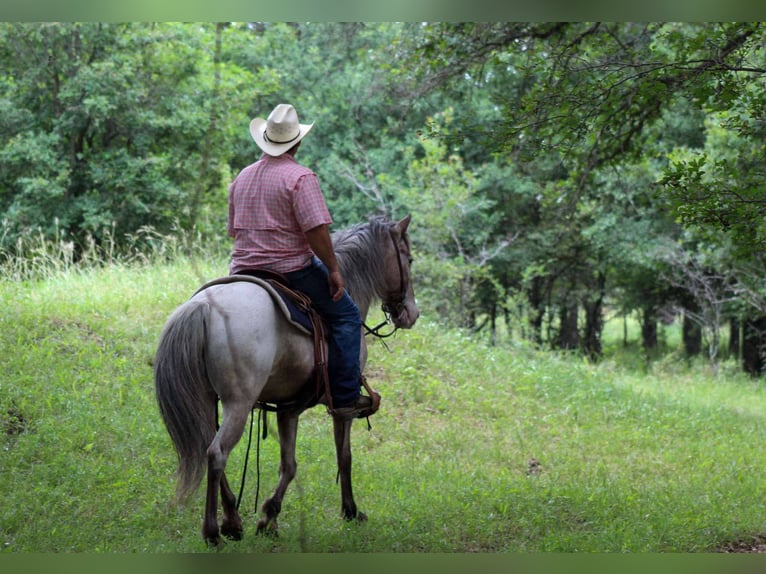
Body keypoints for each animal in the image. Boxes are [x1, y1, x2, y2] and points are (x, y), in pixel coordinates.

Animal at [153, 215, 419, 545]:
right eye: (409, 259)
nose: (411, 313)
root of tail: (204, 307)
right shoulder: (342, 407)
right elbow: (344, 457)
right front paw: (350, 511)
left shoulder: (288, 408)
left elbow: (289, 465)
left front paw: (270, 518)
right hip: (238, 404)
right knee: (216, 454)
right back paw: (214, 531)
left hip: (205, 401)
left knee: (207, 448)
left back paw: (233, 520)